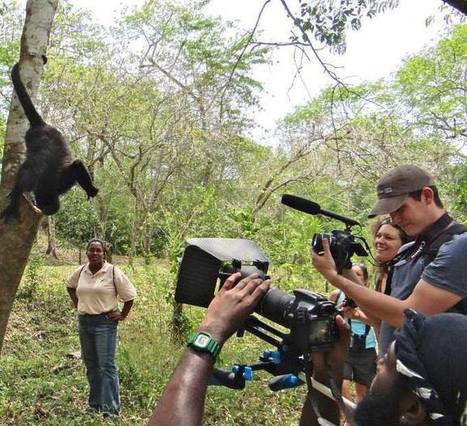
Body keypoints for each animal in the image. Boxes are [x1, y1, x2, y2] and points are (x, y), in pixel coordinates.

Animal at [1, 63, 98, 223]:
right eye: (43, 204)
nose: (42, 206)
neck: (49, 183)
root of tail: (42, 125)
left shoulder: (63, 179)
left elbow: (77, 165)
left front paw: (90, 189)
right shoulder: (38, 178)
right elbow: (22, 179)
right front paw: (13, 202)